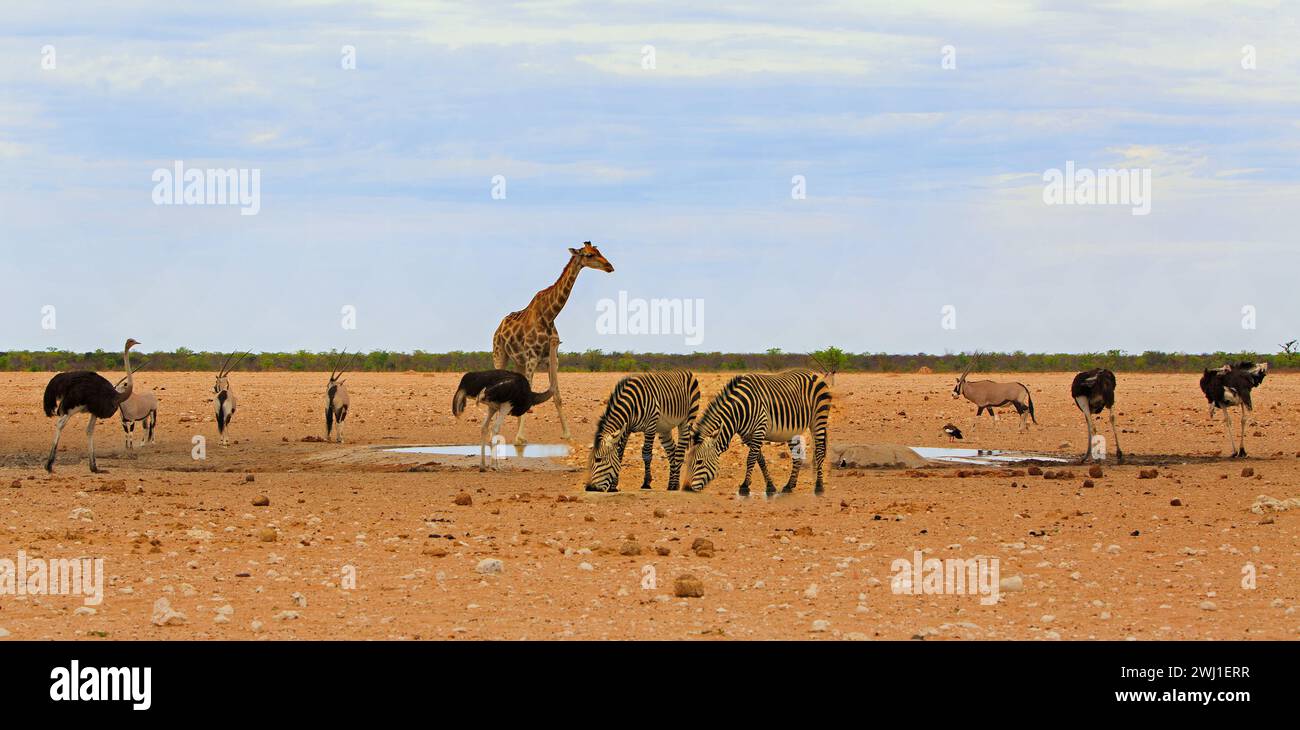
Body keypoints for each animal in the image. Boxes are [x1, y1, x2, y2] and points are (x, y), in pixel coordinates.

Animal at [491, 241, 613, 441]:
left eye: (599, 251)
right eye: (589, 255)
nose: (610, 266)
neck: (549, 315)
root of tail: (498, 328)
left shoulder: (552, 358)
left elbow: (557, 395)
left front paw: (567, 434)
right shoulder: (532, 357)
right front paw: (520, 437)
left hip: (519, 361)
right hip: (500, 354)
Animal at [686, 368, 826, 493]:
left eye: (699, 462)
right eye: (687, 461)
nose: (688, 488)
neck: (739, 412)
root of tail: (812, 373)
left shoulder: (759, 429)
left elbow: (751, 459)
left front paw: (744, 486)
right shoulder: (747, 436)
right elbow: (760, 459)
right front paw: (770, 486)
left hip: (818, 418)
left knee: (819, 451)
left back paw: (819, 486)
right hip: (792, 430)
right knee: (797, 456)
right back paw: (789, 486)